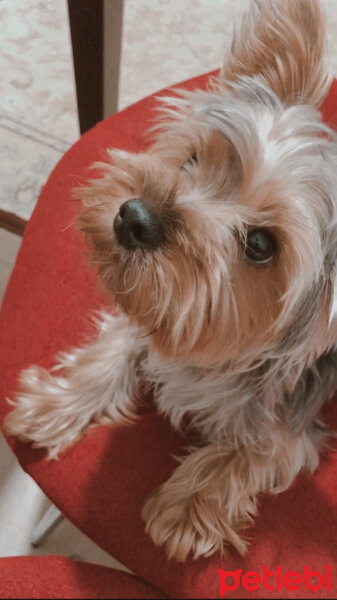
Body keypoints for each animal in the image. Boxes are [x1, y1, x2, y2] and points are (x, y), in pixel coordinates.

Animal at [4, 0, 336, 564]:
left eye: (261, 245)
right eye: (193, 159)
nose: (133, 218)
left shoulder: (294, 410)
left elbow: (261, 447)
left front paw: (187, 509)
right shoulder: (158, 312)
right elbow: (115, 347)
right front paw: (52, 405)